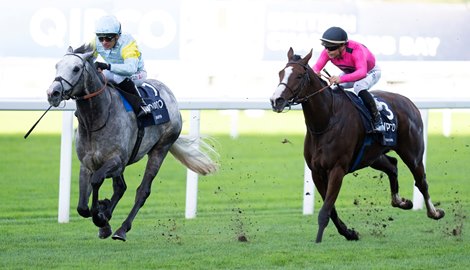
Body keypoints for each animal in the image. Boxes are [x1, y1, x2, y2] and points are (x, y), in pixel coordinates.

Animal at [46, 46, 218, 240]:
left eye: (76, 68)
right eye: (57, 65)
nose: (53, 93)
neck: (96, 121)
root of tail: (170, 95)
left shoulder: (116, 160)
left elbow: (97, 181)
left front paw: (100, 215)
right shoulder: (88, 163)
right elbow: (82, 207)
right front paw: (103, 215)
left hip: (161, 148)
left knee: (142, 191)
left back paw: (122, 229)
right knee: (120, 187)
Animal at [272, 47, 444, 244]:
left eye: (299, 76)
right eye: (281, 73)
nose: (276, 100)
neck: (326, 121)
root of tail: (409, 102)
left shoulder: (337, 169)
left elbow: (325, 210)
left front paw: (318, 239)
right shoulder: (316, 172)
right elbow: (330, 209)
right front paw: (349, 233)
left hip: (412, 153)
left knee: (421, 181)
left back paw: (434, 212)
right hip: (373, 156)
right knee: (392, 165)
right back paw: (401, 201)